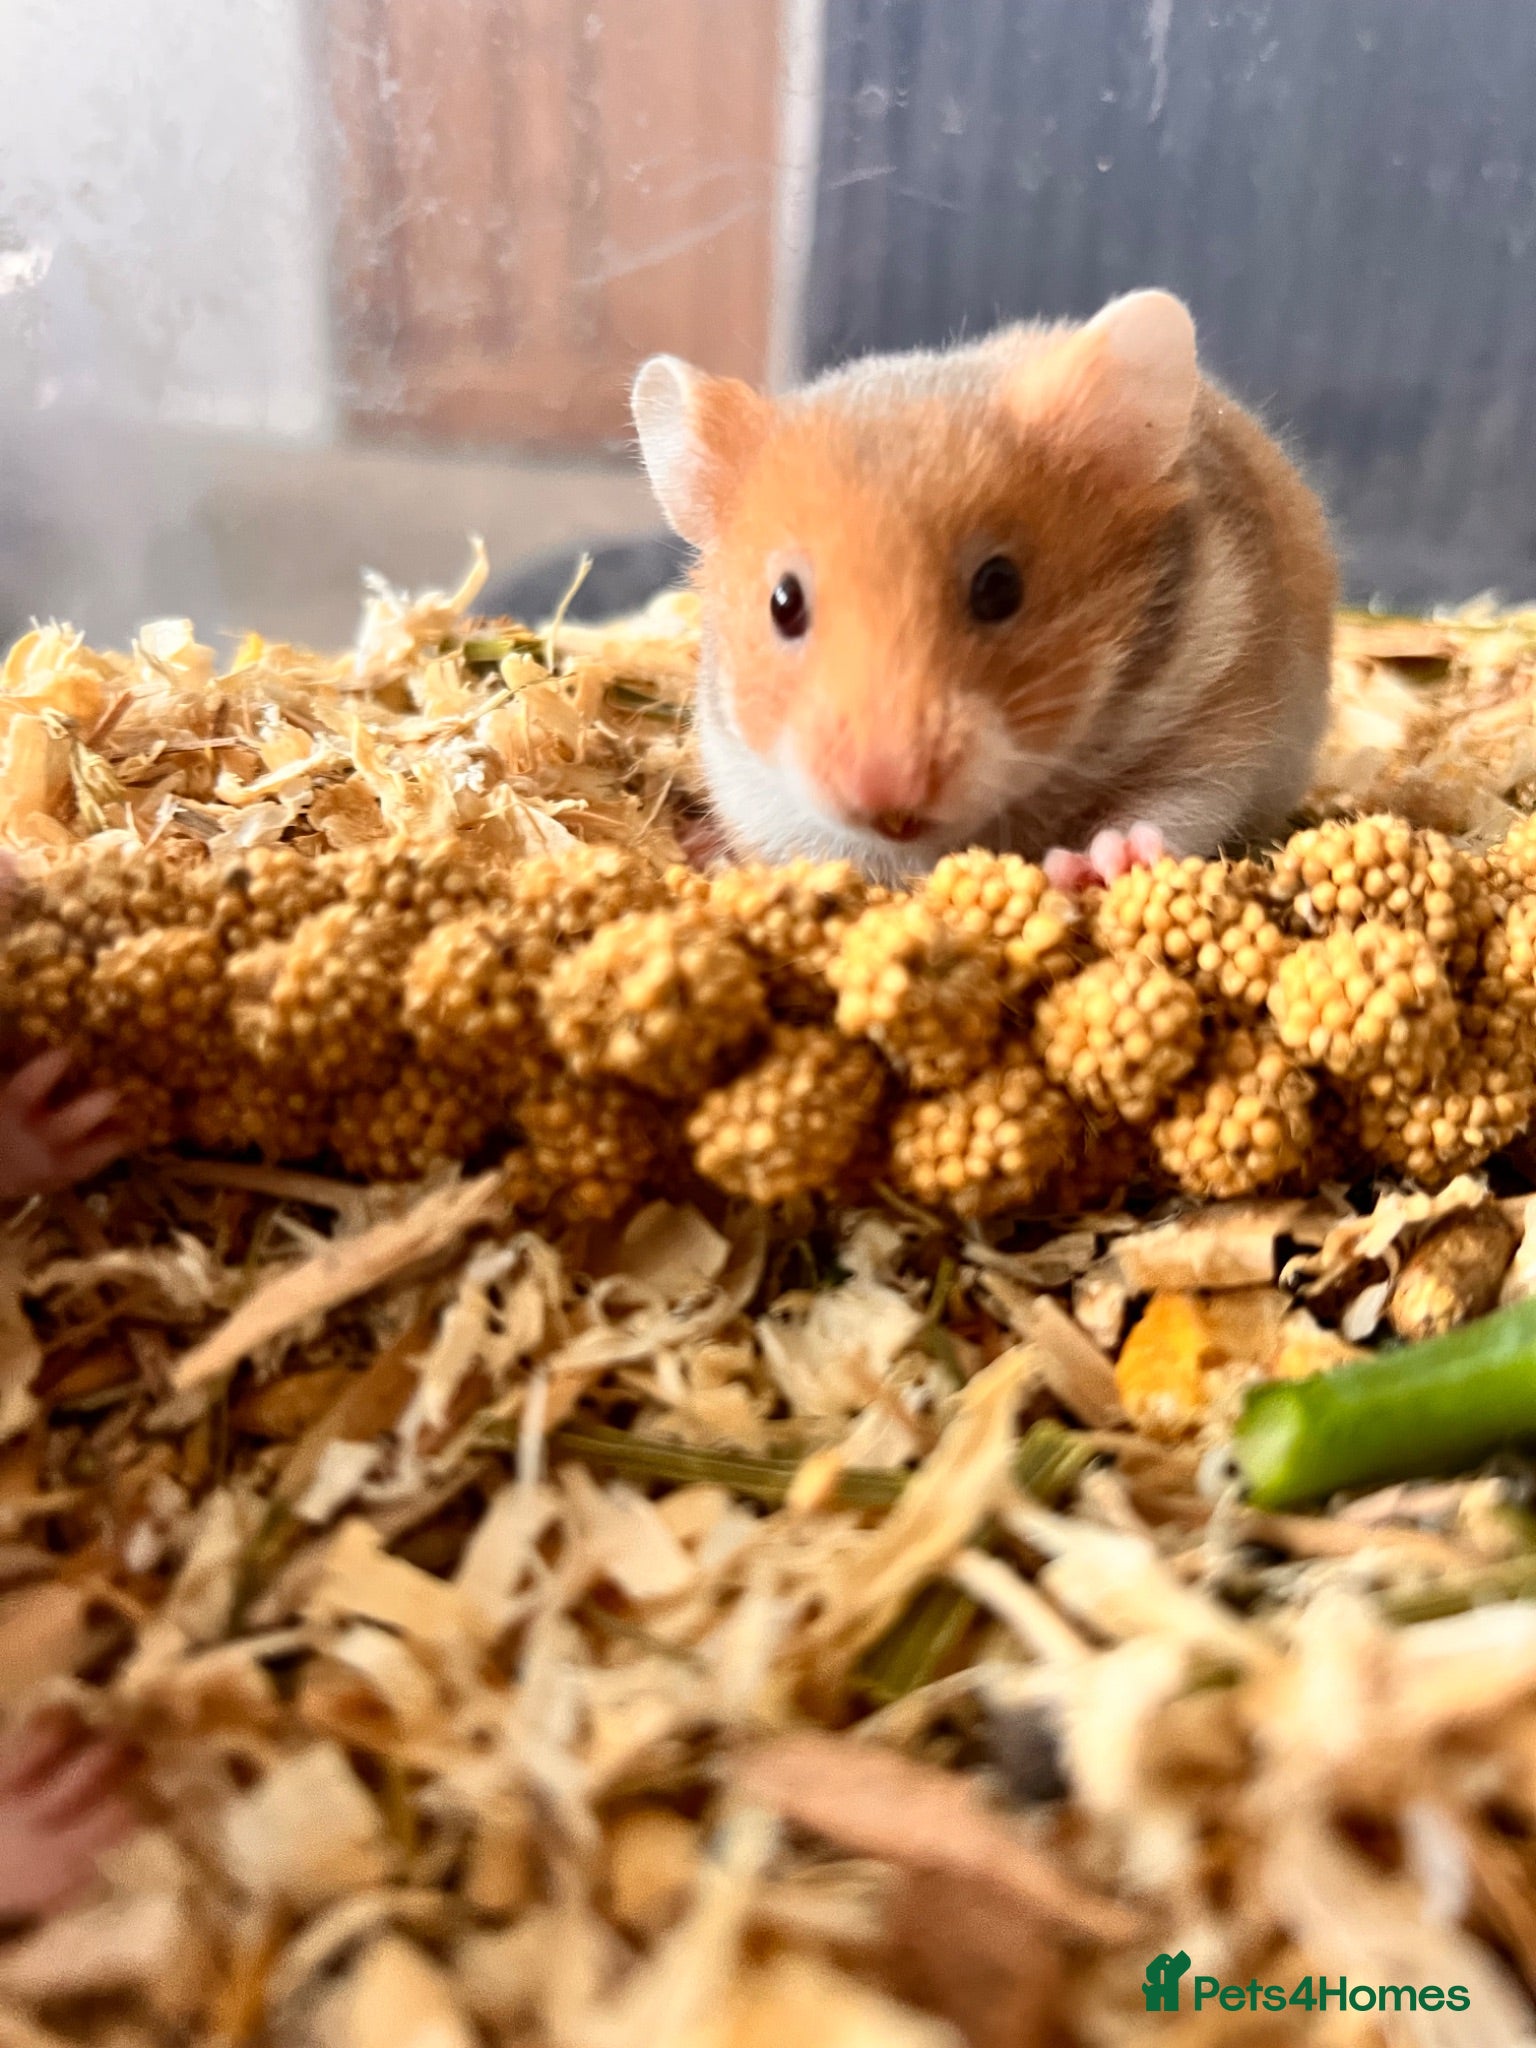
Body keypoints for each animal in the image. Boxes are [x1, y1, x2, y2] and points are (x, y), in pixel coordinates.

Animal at [630, 289, 1336, 888]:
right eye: (784, 603)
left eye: (1000, 587)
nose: (887, 800)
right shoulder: (762, 797)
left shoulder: (1219, 724)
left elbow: (1166, 809)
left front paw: (1091, 865)